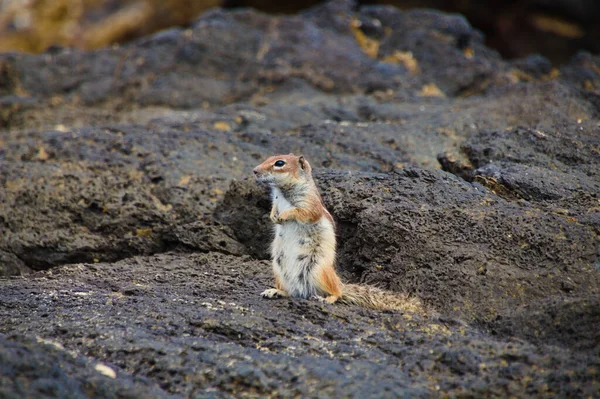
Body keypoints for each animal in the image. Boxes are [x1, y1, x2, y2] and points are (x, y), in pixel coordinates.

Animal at [252, 153, 422, 312]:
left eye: (279, 163)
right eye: (270, 157)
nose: (254, 171)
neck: (282, 191)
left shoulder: (310, 204)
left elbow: (302, 213)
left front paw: (284, 215)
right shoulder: (276, 200)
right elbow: (274, 207)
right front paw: (273, 216)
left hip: (318, 270)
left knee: (337, 293)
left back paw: (326, 299)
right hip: (278, 269)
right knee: (291, 292)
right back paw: (275, 291)